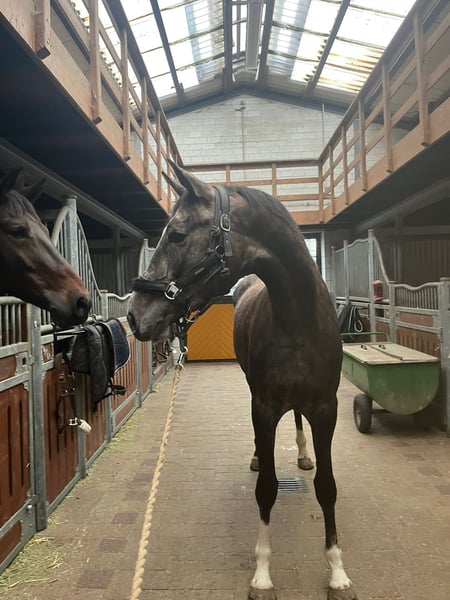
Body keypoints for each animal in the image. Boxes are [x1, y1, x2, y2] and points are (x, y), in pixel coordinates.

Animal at [127, 161, 357, 600]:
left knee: (297, 421)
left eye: (177, 234)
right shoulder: (263, 408)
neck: (298, 321)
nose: (134, 315)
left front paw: (337, 572)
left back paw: (303, 454)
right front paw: (262, 574)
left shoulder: (326, 409)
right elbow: (266, 487)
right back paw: (257, 455)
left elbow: (328, 486)